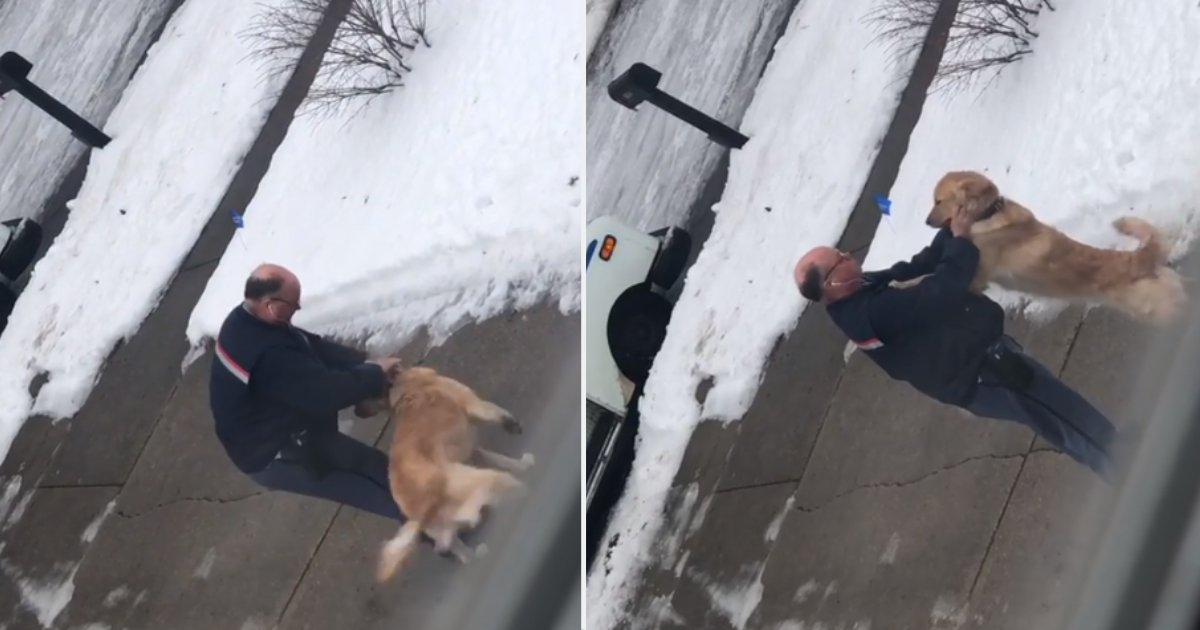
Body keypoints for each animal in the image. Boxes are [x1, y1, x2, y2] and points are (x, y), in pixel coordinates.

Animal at [355, 364, 535, 583]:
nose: (356, 412)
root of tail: (426, 506)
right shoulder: (478, 406)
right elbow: (500, 415)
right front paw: (513, 428)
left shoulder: (472, 450)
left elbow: (500, 459)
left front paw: (522, 464)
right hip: (493, 481)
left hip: (448, 534)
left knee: (467, 557)